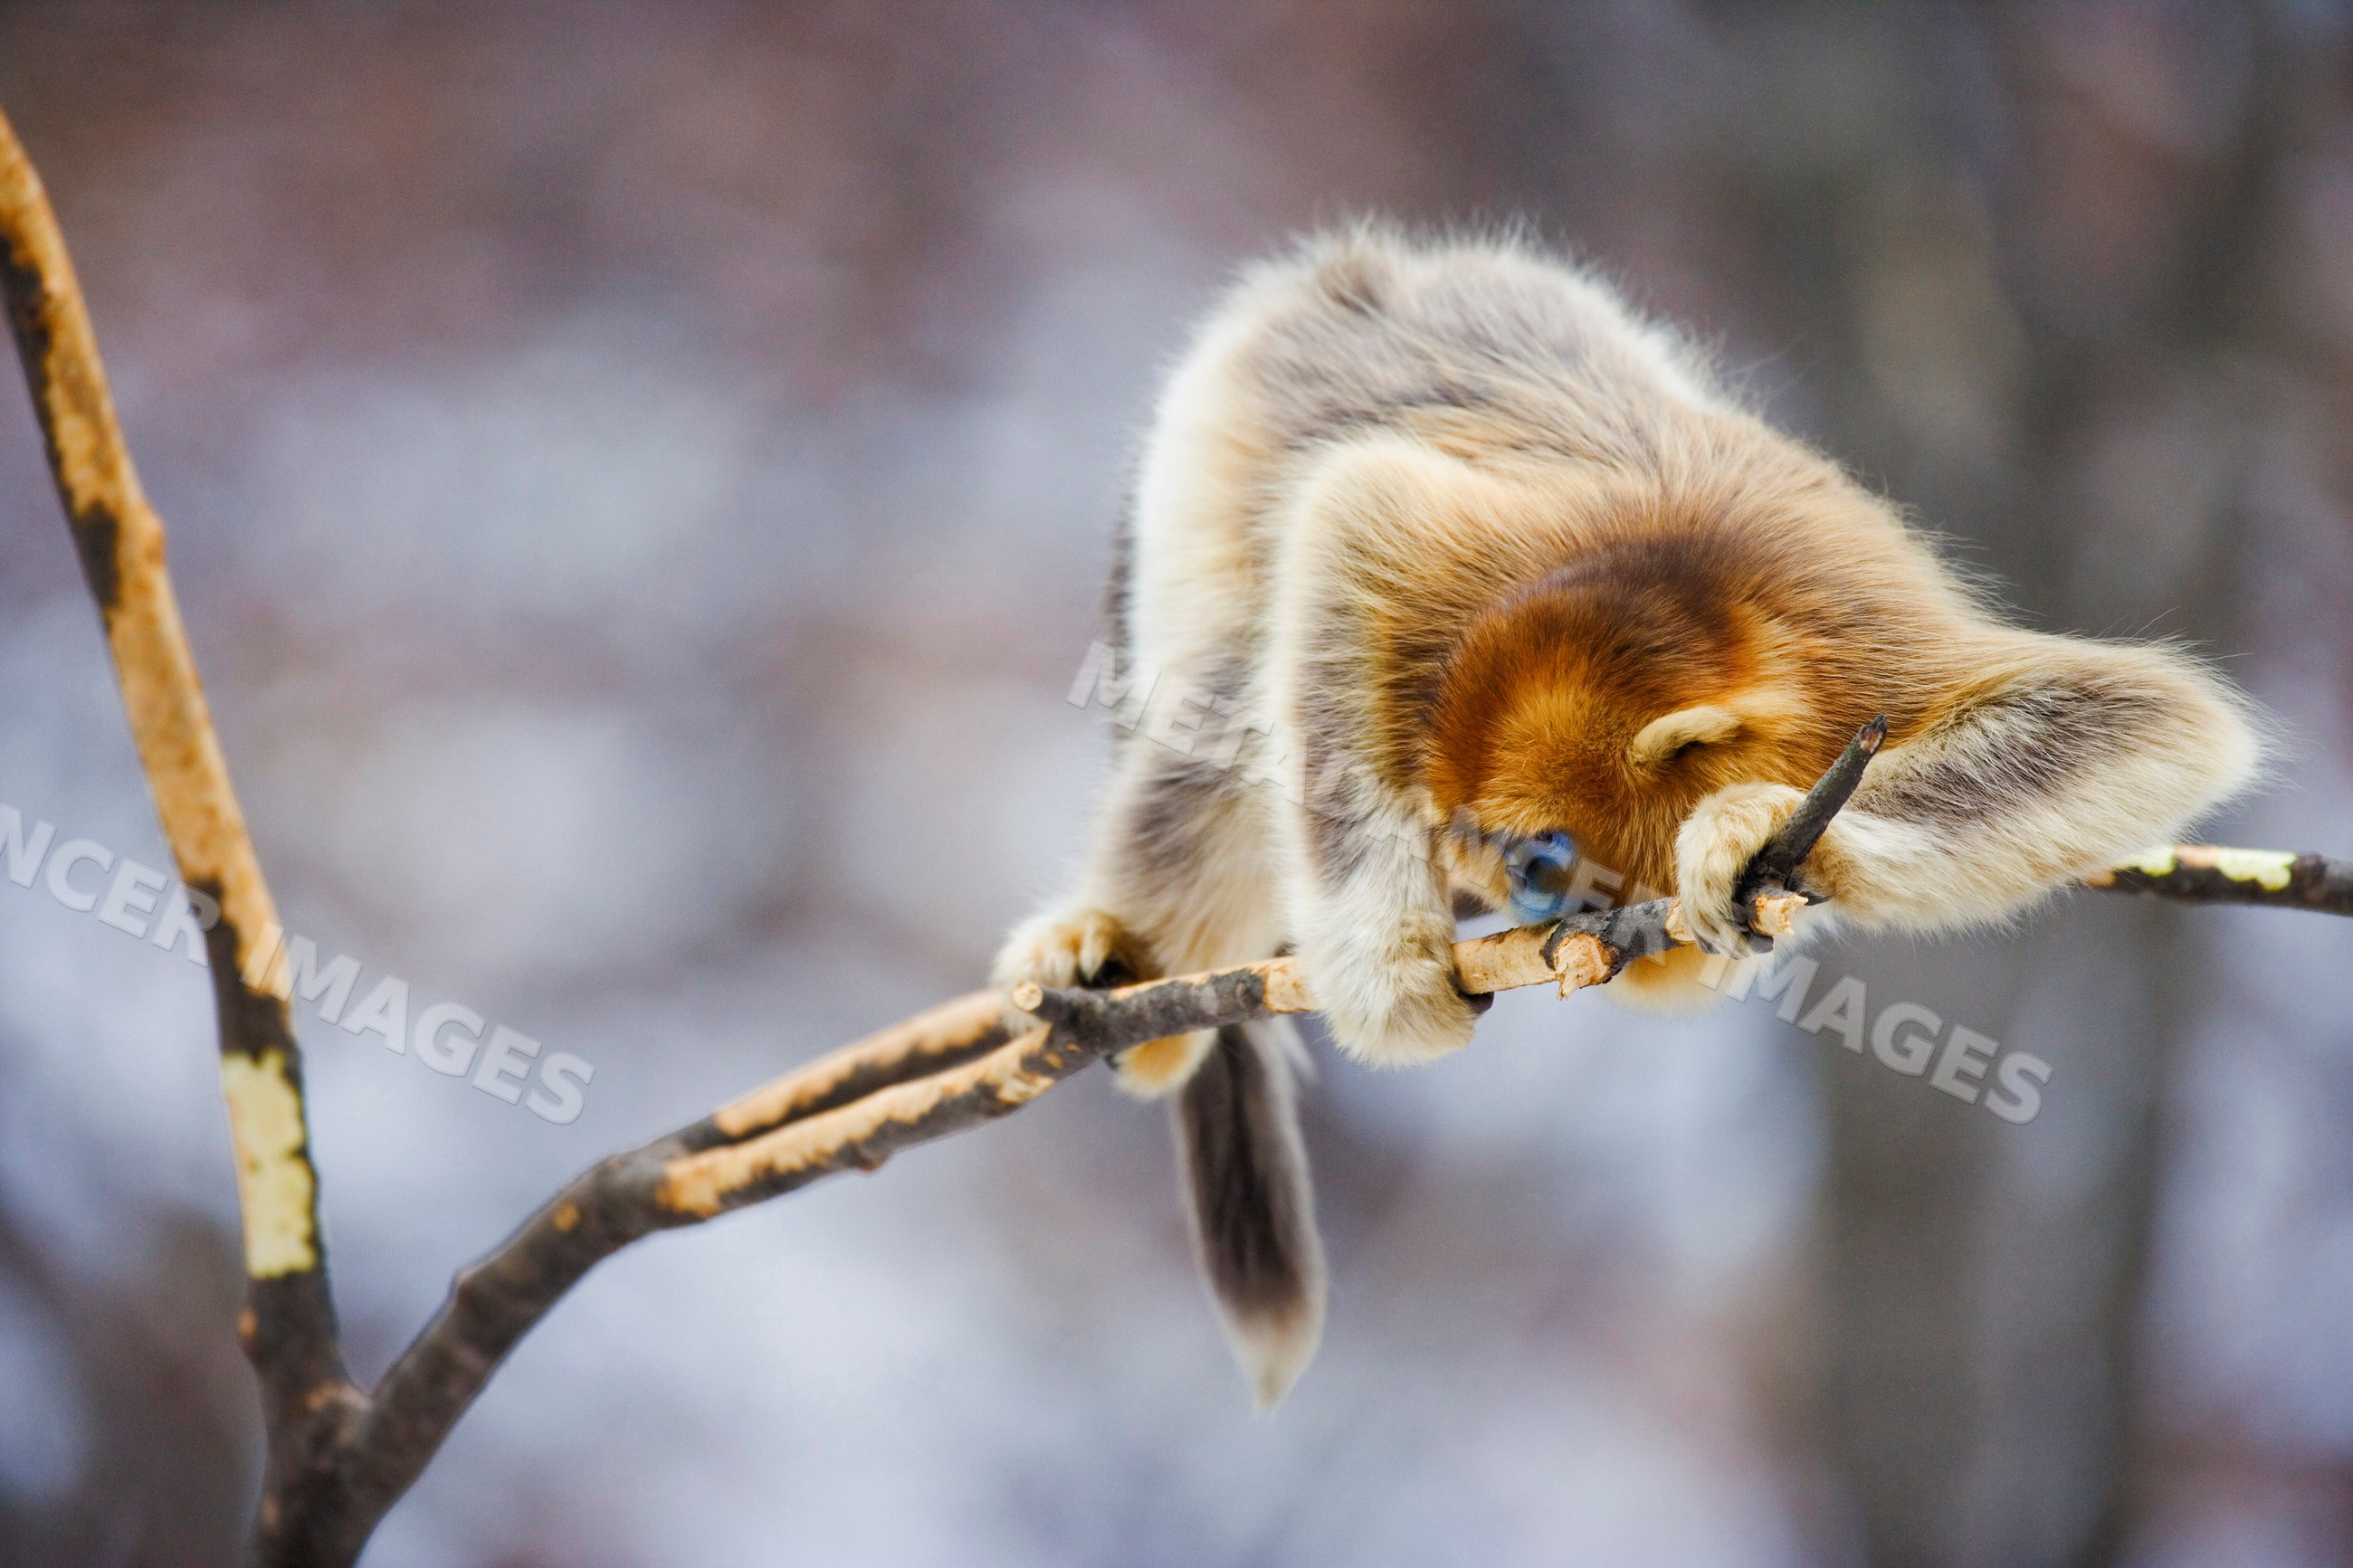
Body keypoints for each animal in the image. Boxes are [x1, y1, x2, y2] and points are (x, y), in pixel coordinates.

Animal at [995, 225, 2264, 1409]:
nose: (1464, 880)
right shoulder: (1455, 586)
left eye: (1537, 861)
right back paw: (1125, 952)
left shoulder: (1863, 662)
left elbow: (2154, 726)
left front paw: (1750, 835)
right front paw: (1383, 964)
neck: (1716, 591)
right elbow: (1351, 516)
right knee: (1231, 695)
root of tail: (1350, 275)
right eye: (1465, 836)